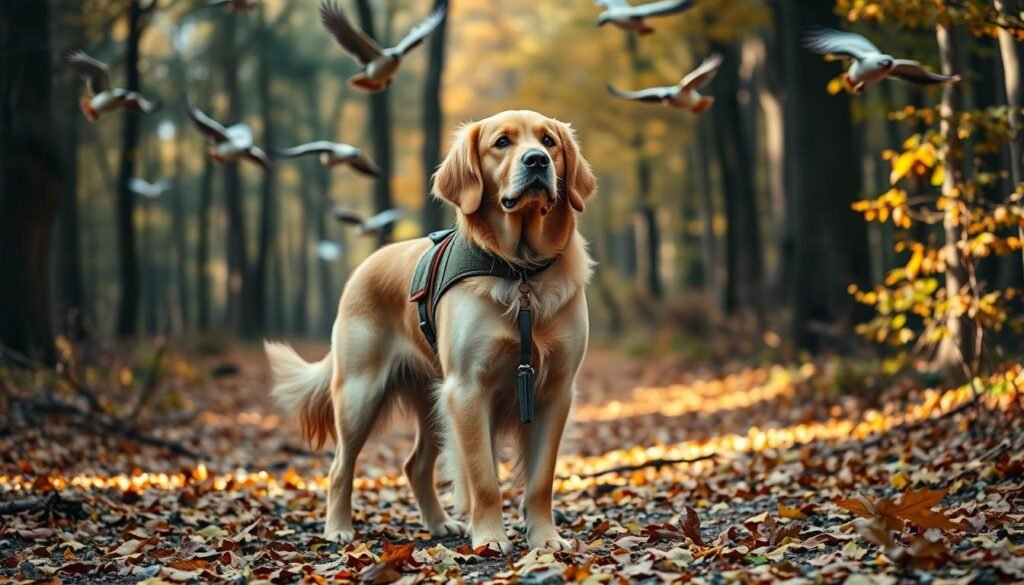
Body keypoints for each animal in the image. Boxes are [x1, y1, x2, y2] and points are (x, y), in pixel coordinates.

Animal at [266, 108, 598, 553]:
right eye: (502, 143)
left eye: (549, 142)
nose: (537, 162)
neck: (521, 272)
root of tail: (364, 266)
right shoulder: (467, 390)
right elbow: (484, 478)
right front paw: (490, 538)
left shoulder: (555, 390)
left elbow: (540, 480)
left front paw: (544, 538)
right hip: (360, 394)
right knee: (340, 467)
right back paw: (338, 529)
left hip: (430, 402)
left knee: (415, 466)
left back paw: (440, 524)